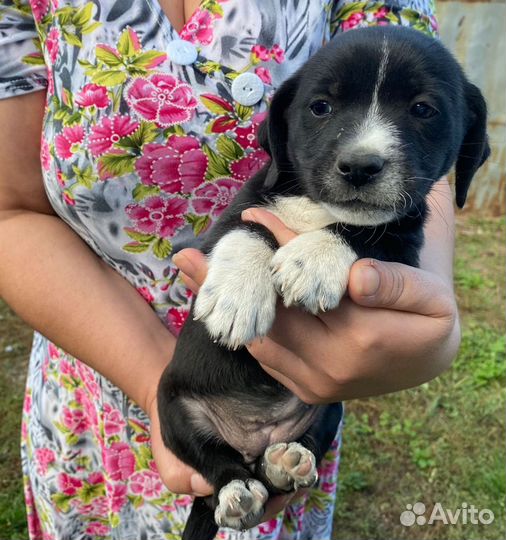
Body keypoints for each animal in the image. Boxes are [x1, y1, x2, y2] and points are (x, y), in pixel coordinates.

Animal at [158, 26, 490, 540]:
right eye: (320, 107)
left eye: (423, 109)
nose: (360, 166)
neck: (317, 207)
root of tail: (255, 440)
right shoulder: (235, 214)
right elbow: (250, 229)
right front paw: (238, 297)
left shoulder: (404, 243)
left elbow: (364, 234)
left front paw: (313, 259)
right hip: (173, 407)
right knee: (215, 464)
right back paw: (237, 490)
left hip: (329, 407)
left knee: (295, 450)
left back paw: (286, 463)